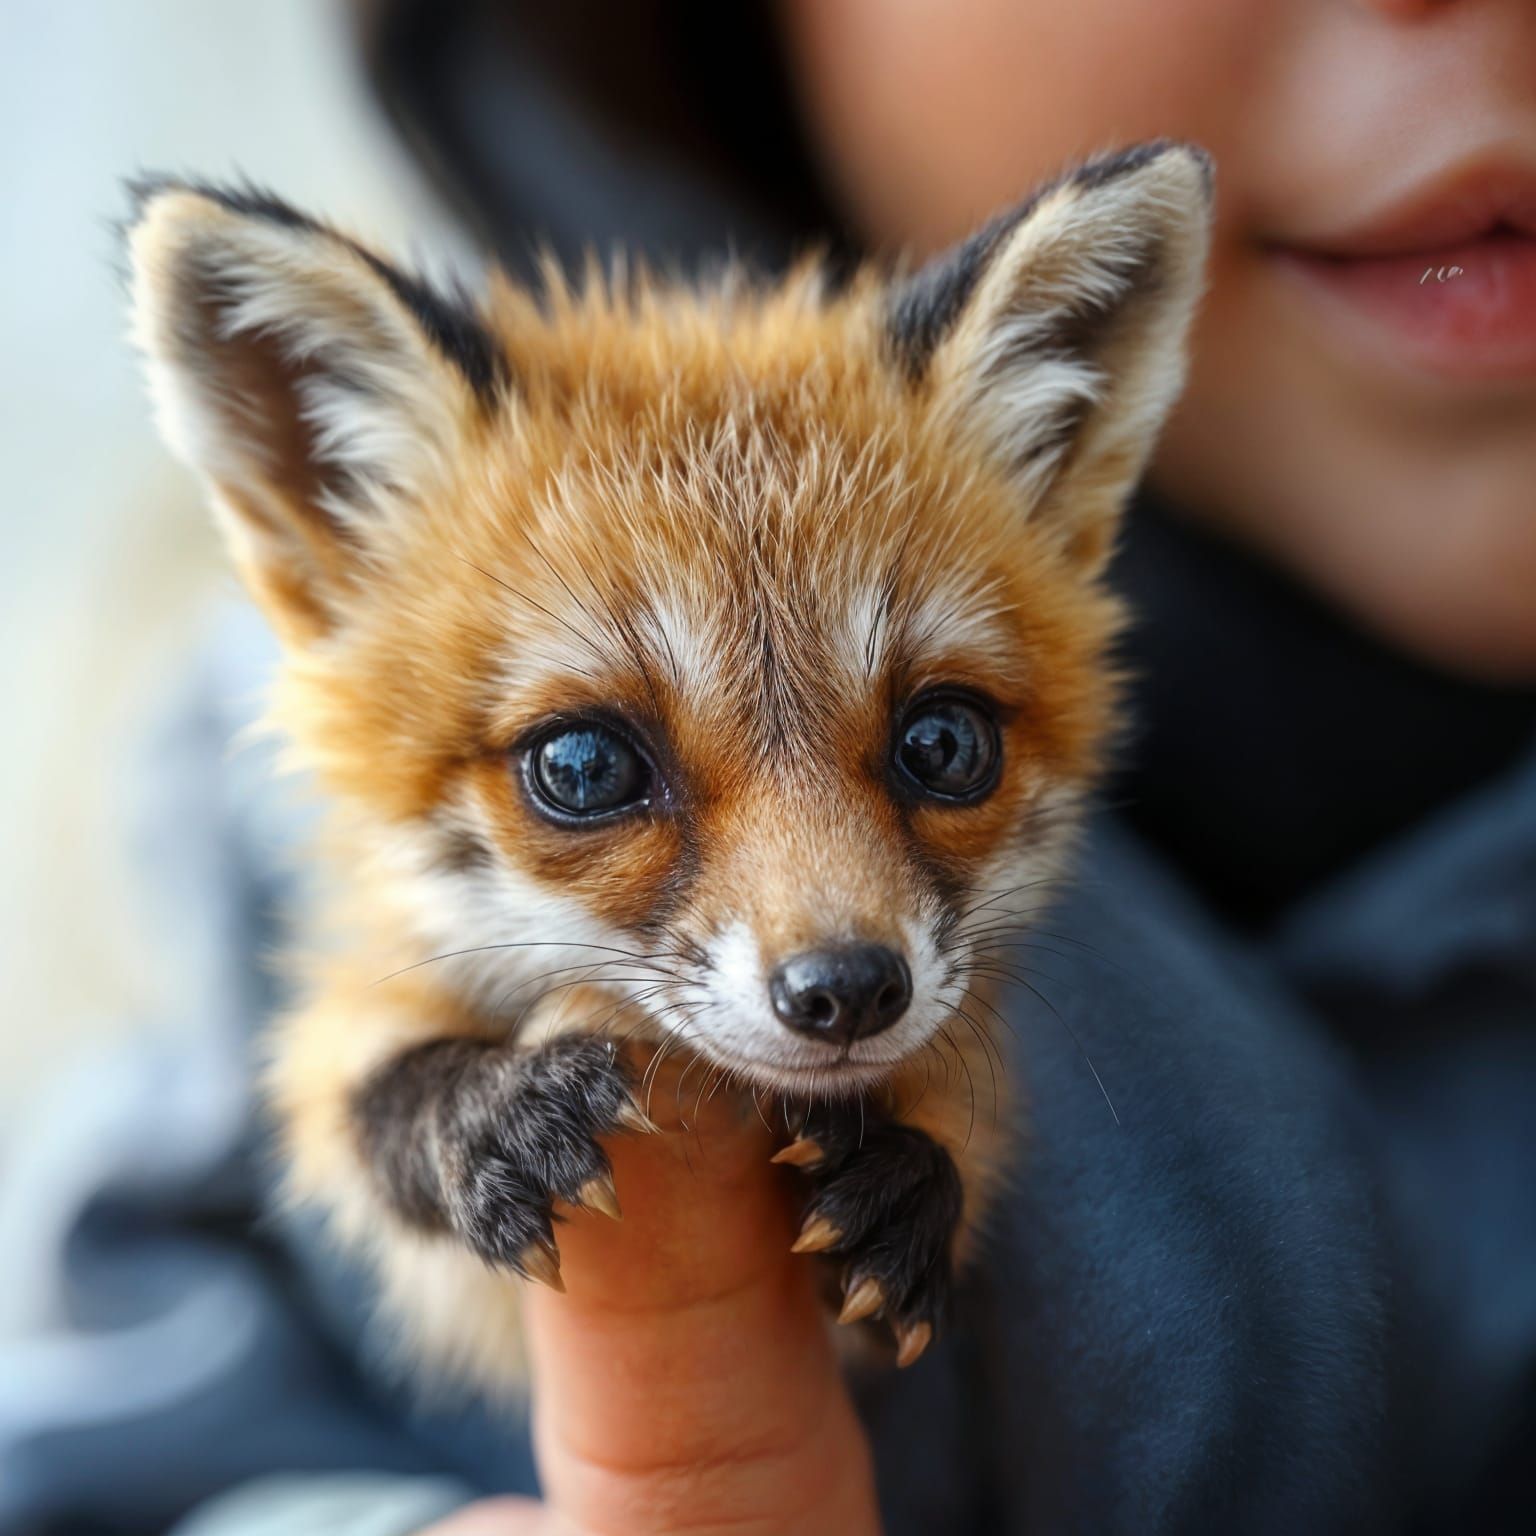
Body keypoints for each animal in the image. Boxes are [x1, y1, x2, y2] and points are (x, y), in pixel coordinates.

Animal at [125, 141, 1211, 1392]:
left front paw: (912, 1181)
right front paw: (478, 1111)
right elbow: (348, 1089)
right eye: (586, 766)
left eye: (944, 744)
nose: (848, 992)